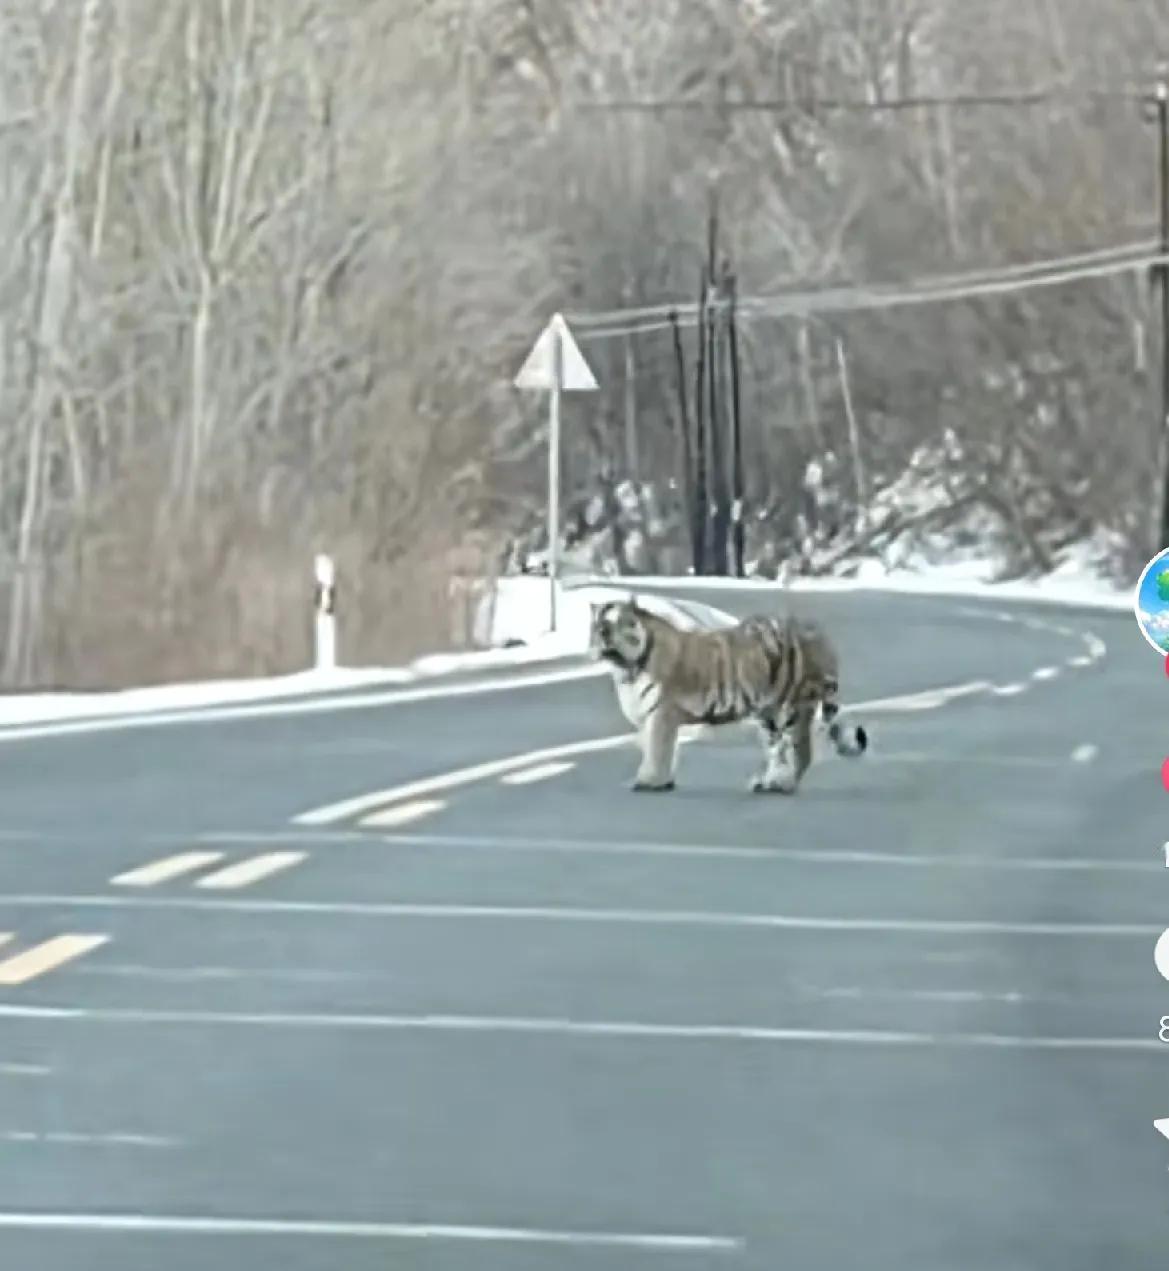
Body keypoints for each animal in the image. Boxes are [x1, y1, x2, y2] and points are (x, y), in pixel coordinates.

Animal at [584, 597, 869, 793]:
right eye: (599, 624)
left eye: (619, 621)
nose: (603, 632)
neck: (625, 668)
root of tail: (817, 631)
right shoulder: (648, 717)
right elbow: (656, 749)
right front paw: (662, 781)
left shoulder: (661, 714)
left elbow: (657, 749)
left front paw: (649, 781)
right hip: (770, 714)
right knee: (778, 749)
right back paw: (767, 782)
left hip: (792, 708)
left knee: (801, 751)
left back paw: (782, 784)